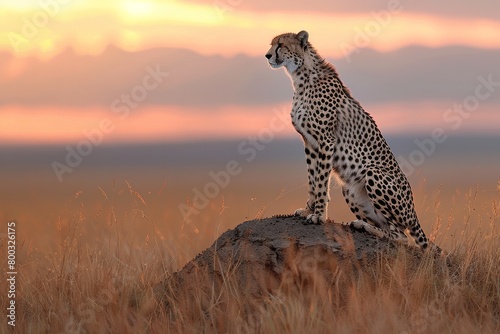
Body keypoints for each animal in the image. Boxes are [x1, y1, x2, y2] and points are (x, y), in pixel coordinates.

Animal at [268, 30, 436, 250]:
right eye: (271, 44)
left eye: (280, 44)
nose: (267, 56)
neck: (300, 77)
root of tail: (414, 213)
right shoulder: (309, 142)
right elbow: (312, 179)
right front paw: (308, 210)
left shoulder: (326, 140)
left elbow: (321, 181)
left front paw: (319, 216)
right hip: (350, 189)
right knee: (391, 229)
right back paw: (362, 224)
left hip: (374, 174)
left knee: (400, 236)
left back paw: (365, 227)